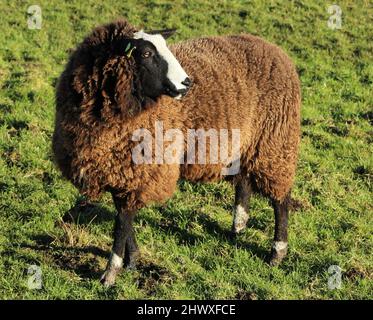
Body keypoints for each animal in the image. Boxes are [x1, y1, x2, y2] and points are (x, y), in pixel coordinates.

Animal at [52, 18, 300, 286]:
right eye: (146, 53)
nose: (187, 83)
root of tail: (273, 47)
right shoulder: (121, 171)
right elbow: (123, 216)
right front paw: (132, 260)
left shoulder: (139, 170)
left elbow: (122, 221)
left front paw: (111, 272)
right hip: (243, 143)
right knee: (244, 182)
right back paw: (238, 228)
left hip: (274, 142)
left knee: (280, 199)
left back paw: (277, 252)